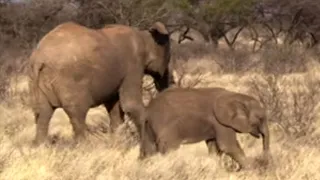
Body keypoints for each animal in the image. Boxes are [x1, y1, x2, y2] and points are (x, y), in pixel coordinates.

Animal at [28, 20, 172, 146]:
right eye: (168, 56)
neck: (144, 36)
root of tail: (39, 58)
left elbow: (114, 107)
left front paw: (117, 140)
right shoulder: (133, 66)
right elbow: (131, 105)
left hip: (37, 81)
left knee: (43, 114)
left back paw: (40, 146)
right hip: (69, 80)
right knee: (76, 114)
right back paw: (84, 146)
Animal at [139, 87, 270, 172]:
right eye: (260, 118)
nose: (263, 163)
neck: (235, 96)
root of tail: (148, 110)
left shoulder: (215, 125)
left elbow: (214, 147)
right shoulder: (220, 122)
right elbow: (228, 146)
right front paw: (252, 170)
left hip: (148, 127)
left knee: (149, 150)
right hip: (165, 126)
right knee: (168, 150)